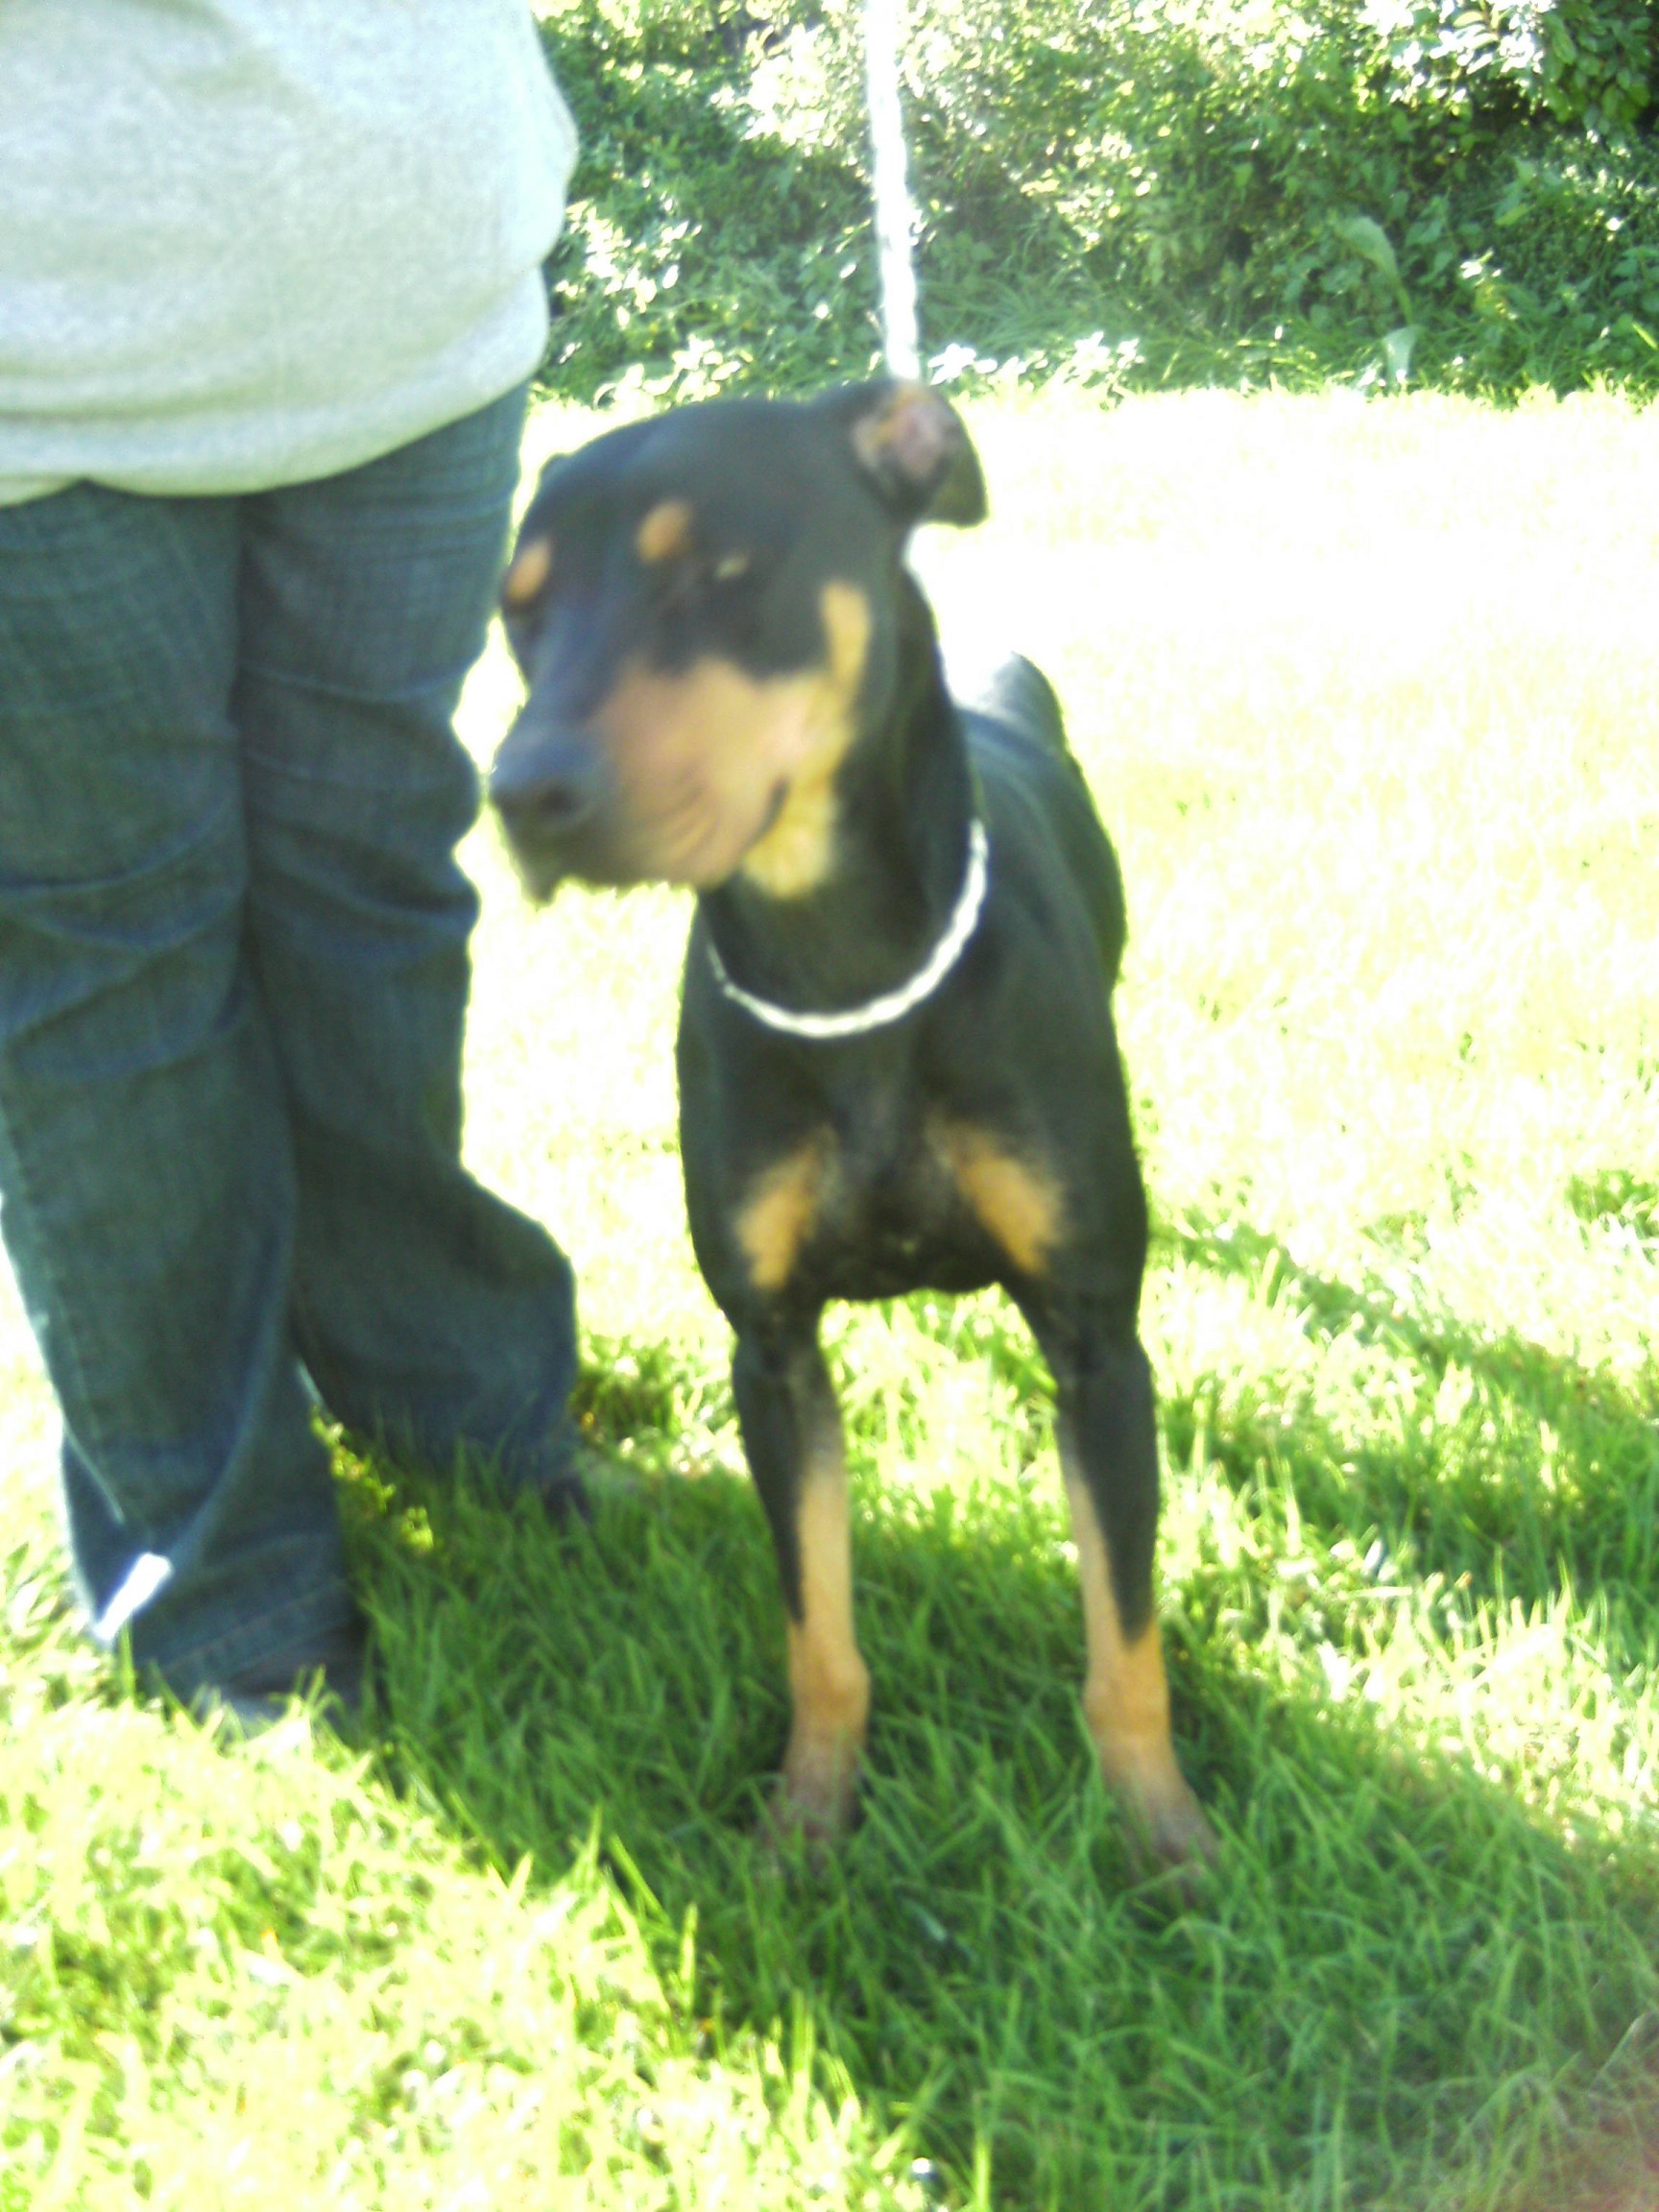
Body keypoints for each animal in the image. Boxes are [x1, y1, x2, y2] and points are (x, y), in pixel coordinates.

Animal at [486, 389, 1212, 1875]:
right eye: (517, 612)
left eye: (716, 570)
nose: (522, 792)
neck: (845, 970)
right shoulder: (769, 1354)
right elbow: (817, 1627)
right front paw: (806, 1826)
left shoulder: (1100, 1349)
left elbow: (1125, 1642)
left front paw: (1162, 1836)